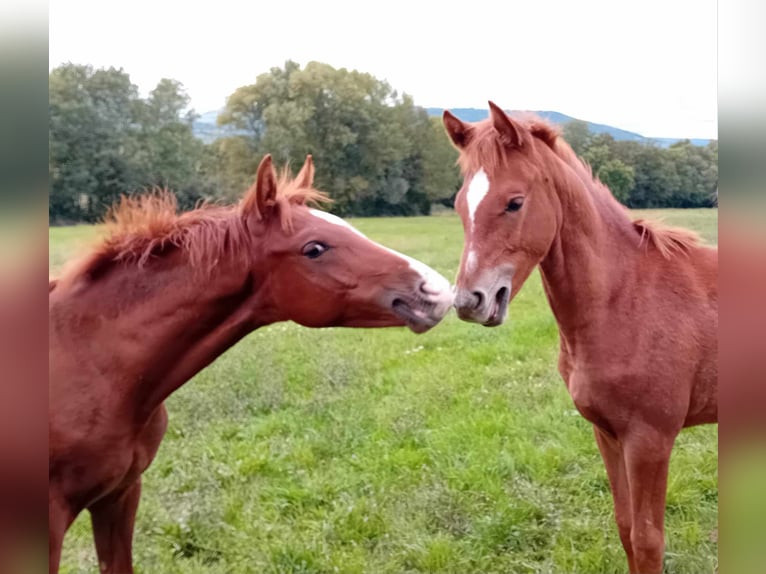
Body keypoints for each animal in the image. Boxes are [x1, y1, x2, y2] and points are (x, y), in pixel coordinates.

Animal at [444, 103, 720, 574]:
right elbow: (626, 529)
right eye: (461, 205)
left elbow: (648, 540)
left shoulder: (650, 440)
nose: (469, 301)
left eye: (514, 202)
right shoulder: (606, 433)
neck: (626, 298)